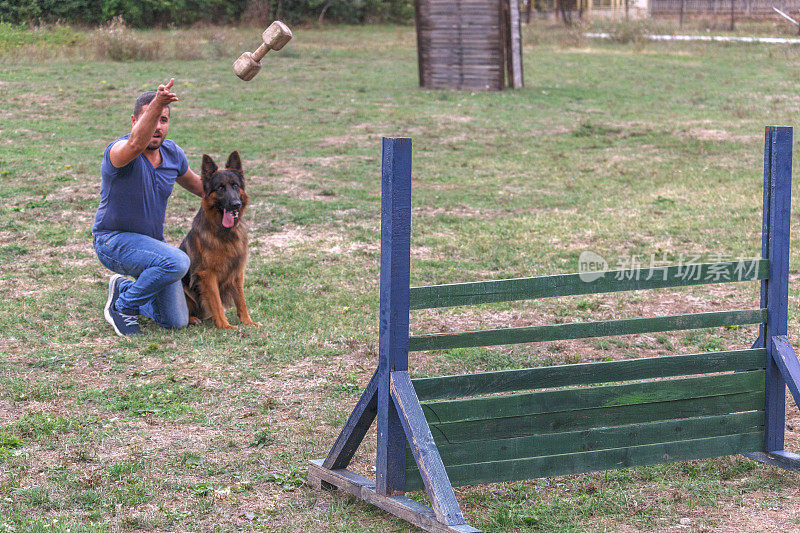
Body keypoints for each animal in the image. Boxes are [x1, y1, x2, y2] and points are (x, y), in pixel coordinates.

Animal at [179, 151, 260, 328]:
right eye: (220, 188)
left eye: (235, 185)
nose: (236, 204)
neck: (224, 233)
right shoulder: (208, 275)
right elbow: (216, 302)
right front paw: (225, 325)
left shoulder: (237, 271)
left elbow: (241, 300)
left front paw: (247, 321)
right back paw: (192, 319)